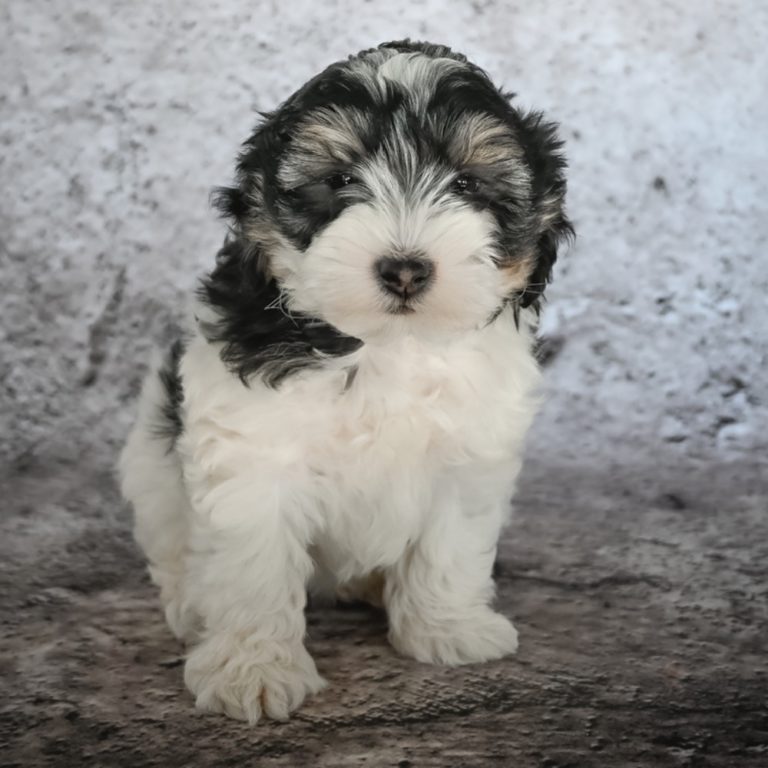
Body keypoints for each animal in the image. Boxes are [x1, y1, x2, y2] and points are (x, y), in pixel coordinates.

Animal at [118, 39, 568, 724]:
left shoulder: (470, 452)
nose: (405, 269)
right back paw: (190, 605)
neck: (388, 344)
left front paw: (448, 628)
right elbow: (252, 564)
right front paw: (252, 668)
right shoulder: (254, 455)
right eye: (340, 181)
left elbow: (450, 542)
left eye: (467, 184)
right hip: (150, 457)